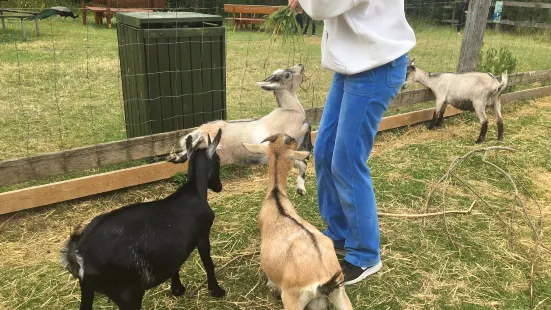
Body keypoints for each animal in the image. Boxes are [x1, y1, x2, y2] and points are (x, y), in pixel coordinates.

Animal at [63, 129, 229, 310]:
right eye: (218, 159)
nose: (219, 187)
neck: (195, 191)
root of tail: (80, 252)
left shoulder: (174, 248)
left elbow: (175, 265)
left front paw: (177, 289)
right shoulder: (202, 234)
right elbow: (208, 262)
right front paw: (217, 291)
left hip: (88, 290)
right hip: (129, 293)